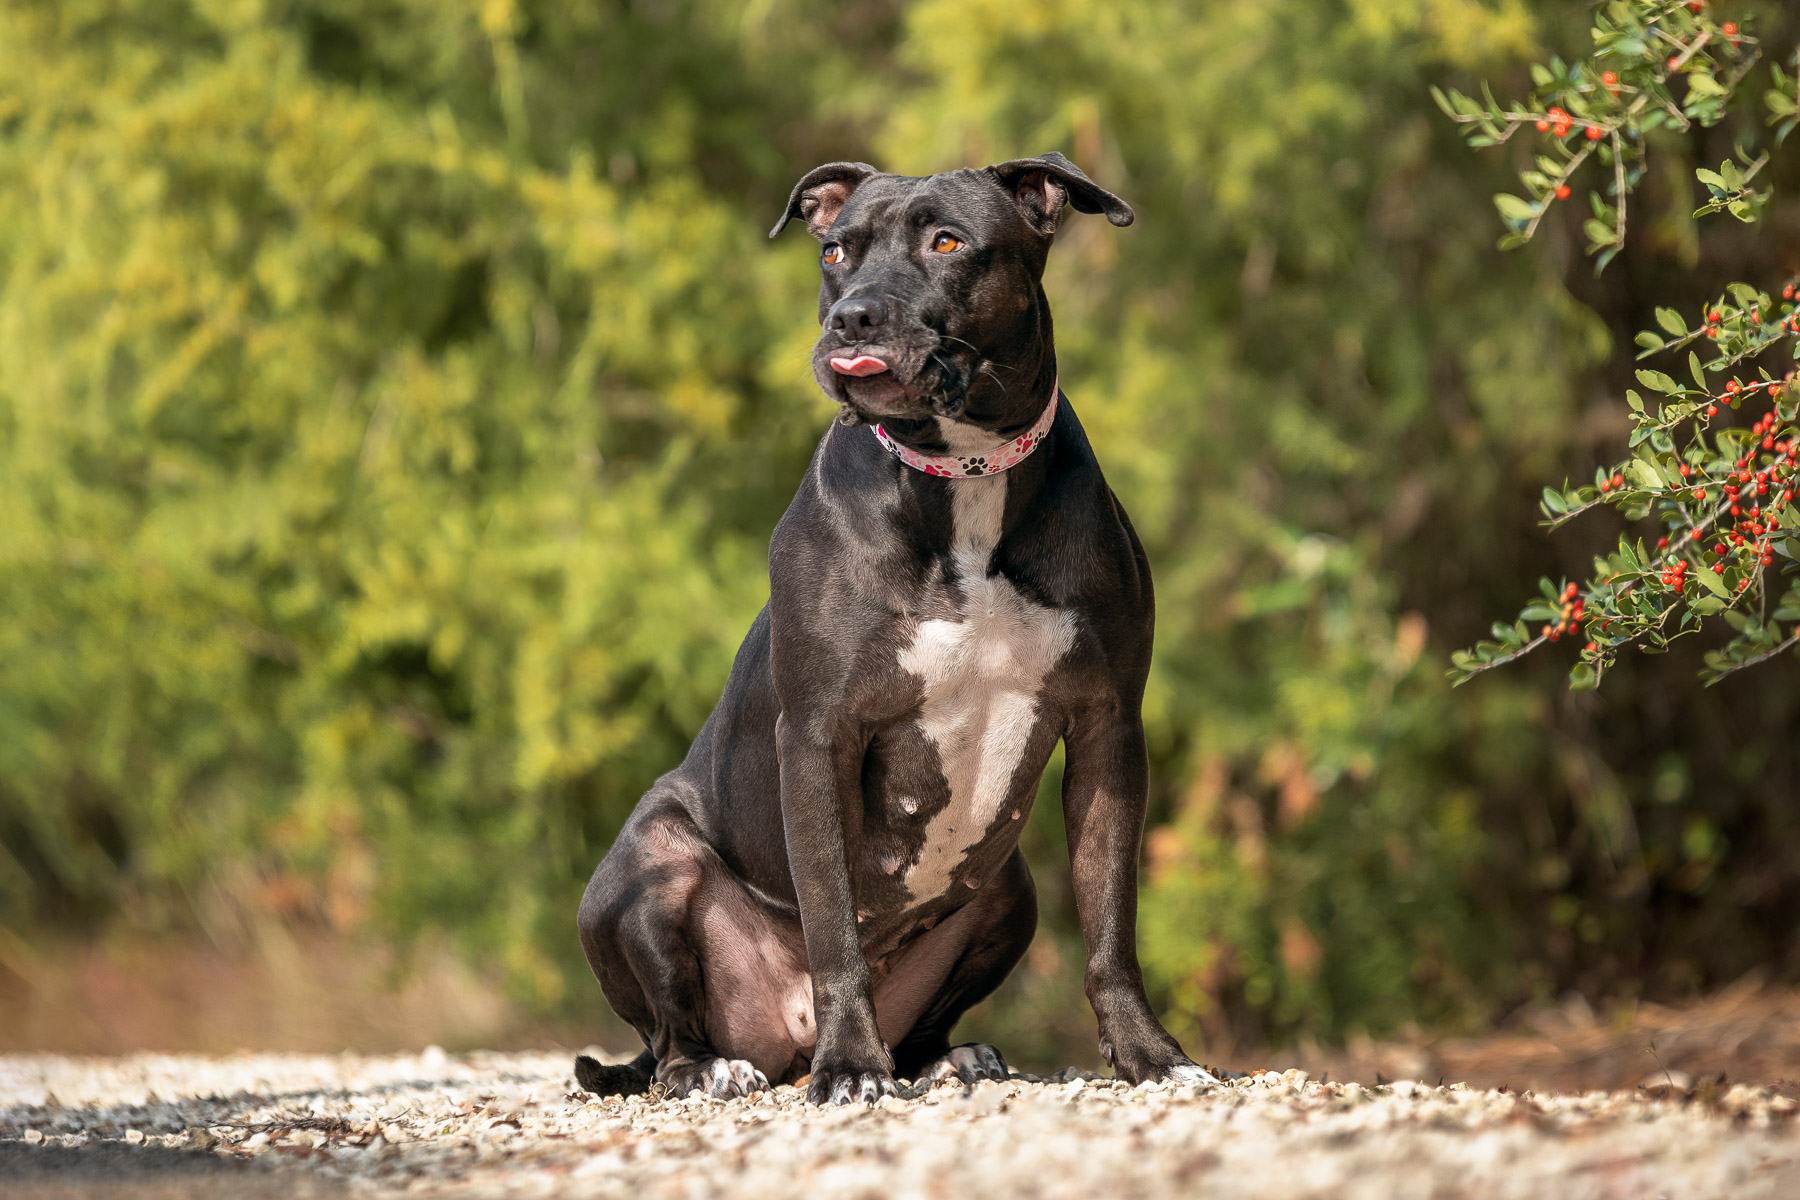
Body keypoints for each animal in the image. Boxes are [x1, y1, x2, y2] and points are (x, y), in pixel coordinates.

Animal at [576, 152, 1224, 1108]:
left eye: (947, 242)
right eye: (835, 251)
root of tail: (782, 1038)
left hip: (1010, 888)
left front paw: (1151, 1055)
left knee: (932, 1011)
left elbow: (1111, 924)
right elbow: (834, 925)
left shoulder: (1110, 728)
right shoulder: (819, 737)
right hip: (649, 864)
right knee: (663, 1035)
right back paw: (716, 1066)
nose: (852, 314)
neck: (962, 475)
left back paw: (941, 1057)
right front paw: (852, 1066)